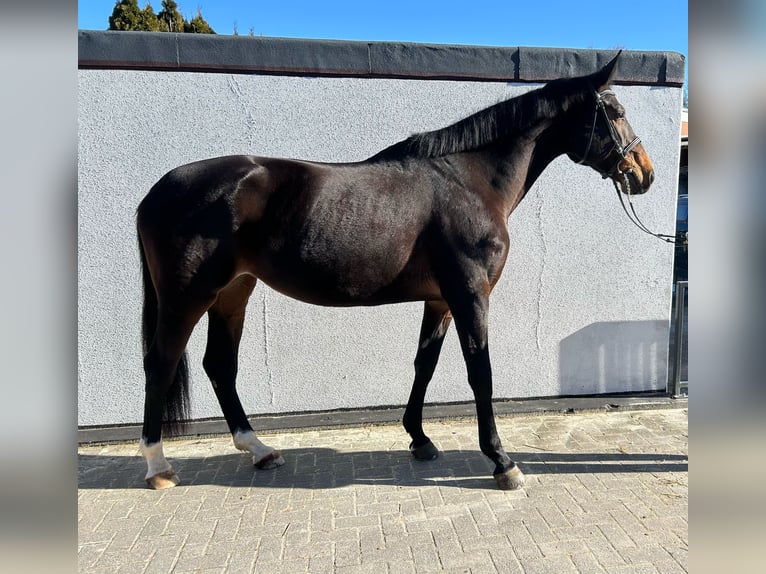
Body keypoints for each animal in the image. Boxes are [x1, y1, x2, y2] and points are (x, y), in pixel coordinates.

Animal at [136, 54, 656, 490]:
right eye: (615, 110)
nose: (644, 173)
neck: (470, 181)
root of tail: (156, 191)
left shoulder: (440, 299)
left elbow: (424, 365)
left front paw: (420, 440)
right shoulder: (471, 294)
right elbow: (480, 372)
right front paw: (502, 461)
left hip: (233, 293)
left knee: (220, 366)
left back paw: (260, 450)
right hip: (186, 298)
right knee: (160, 364)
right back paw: (159, 467)